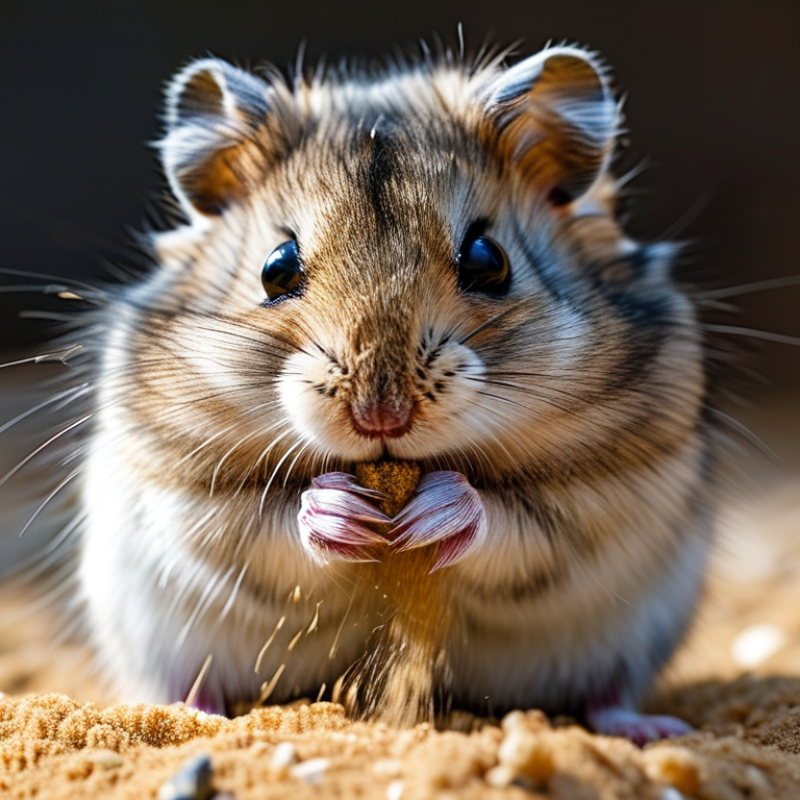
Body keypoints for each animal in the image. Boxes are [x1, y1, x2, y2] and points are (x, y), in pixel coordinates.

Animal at [75, 41, 714, 744]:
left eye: (489, 260)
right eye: (276, 268)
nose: (381, 415)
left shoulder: (598, 495)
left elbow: (512, 522)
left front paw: (436, 511)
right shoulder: (192, 496)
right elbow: (271, 521)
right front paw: (339, 510)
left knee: (607, 694)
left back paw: (653, 729)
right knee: (187, 682)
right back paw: (194, 714)